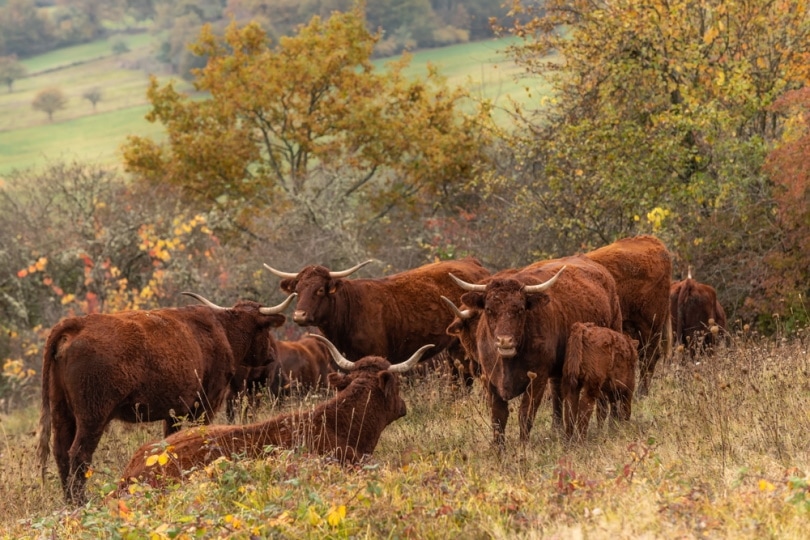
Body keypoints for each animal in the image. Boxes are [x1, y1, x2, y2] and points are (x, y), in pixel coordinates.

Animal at [35, 294, 294, 504]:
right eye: (265, 329)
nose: (272, 354)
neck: (221, 330)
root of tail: (78, 324)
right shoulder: (206, 404)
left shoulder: (175, 412)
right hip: (92, 416)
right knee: (78, 454)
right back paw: (81, 501)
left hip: (62, 412)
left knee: (61, 452)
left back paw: (69, 502)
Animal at [448, 255, 620, 446]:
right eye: (488, 309)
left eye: (520, 309)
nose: (504, 340)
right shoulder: (490, 380)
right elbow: (498, 418)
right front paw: (499, 449)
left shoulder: (537, 378)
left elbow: (525, 415)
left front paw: (523, 446)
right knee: (558, 393)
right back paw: (557, 429)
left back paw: (608, 426)